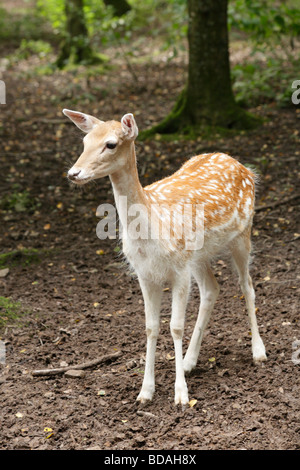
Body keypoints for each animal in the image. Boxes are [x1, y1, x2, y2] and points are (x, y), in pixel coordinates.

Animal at [62, 109, 268, 404]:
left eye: (110, 144)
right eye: (84, 141)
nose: (73, 173)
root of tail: (244, 166)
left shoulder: (179, 271)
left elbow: (175, 326)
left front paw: (181, 395)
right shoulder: (146, 274)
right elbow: (151, 327)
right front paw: (145, 392)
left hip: (243, 233)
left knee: (247, 286)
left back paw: (258, 352)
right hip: (199, 256)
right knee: (212, 289)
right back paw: (189, 361)